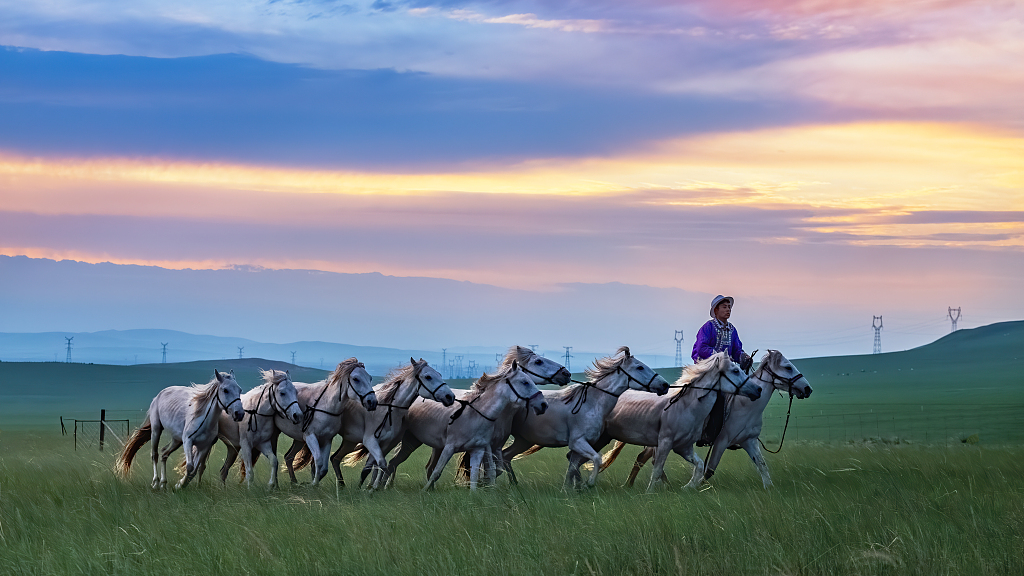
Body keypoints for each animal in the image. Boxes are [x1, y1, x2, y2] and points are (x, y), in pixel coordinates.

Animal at [385, 358, 548, 487]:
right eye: (525, 382)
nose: (543, 404)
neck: (475, 415)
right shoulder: (450, 447)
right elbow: (438, 471)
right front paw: (424, 492)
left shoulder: (481, 449)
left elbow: (479, 475)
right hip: (410, 441)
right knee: (395, 463)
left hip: (416, 442)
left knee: (399, 463)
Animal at [577, 352, 761, 491]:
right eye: (735, 371)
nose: (757, 389)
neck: (685, 407)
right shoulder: (665, 443)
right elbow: (657, 469)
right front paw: (650, 492)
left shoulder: (684, 447)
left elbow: (699, 466)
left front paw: (688, 487)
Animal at [606, 348, 815, 485]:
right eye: (788, 367)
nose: (807, 389)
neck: (745, 406)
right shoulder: (721, 441)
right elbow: (709, 470)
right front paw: (699, 487)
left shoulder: (748, 440)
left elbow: (762, 465)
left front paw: (769, 488)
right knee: (645, 458)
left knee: (645, 458)